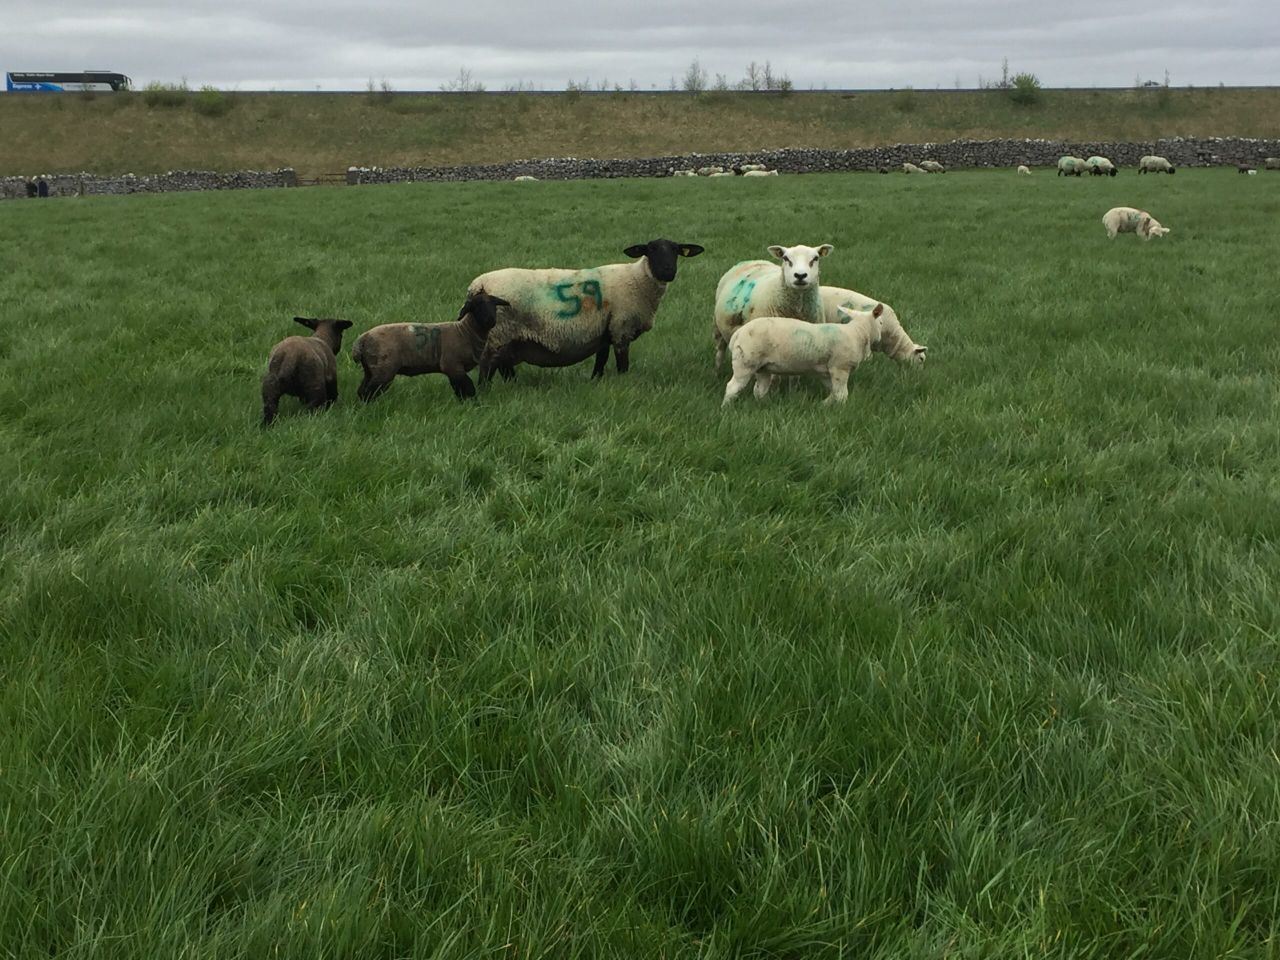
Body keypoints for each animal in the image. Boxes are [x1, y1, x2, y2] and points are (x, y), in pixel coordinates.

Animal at [351, 291, 511, 402]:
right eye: (476, 306)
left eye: (494, 305)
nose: (490, 320)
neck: (465, 331)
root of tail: (361, 340)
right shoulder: (452, 365)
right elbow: (468, 388)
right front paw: (474, 404)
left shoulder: (452, 370)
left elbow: (459, 390)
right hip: (384, 368)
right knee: (369, 391)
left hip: (370, 368)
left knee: (361, 390)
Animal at [467, 238, 705, 384]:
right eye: (651, 250)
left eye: (676, 251)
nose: (668, 271)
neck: (637, 280)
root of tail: (478, 284)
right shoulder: (621, 328)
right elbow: (622, 364)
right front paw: (623, 383)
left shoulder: (604, 331)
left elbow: (601, 360)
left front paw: (595, 381)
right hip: (497, 333)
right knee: (487, 366)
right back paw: (485, 391)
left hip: (508, 337)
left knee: (503, 365)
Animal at [722, 303, 885, 407]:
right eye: (881, 323)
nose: (880, 337)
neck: (858, 332)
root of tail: (738, 334)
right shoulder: (840, 367)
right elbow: (841, 394)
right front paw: (841, 409)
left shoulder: (826, 371)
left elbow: (833, 391)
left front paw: (824, 404)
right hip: (745, 362)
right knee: (732, 387)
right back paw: (726, 408)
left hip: (763, 367)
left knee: (759, 390)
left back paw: (764, 405)